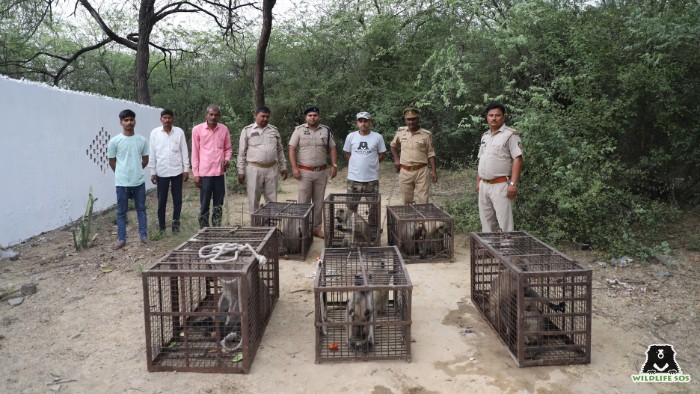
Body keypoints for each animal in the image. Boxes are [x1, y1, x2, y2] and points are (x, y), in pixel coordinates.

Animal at [142, 226, 278, 374]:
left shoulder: (242, 283)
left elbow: (237, 307)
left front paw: (223, 328)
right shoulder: (228, 286)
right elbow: (225, 302)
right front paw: (214, 322)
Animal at [470, 232, 592, 368]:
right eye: (523, 267)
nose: (526, 269)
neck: (512, 274)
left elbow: (530, 294)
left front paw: (552, 304)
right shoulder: (513, 284)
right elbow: (506, 304)